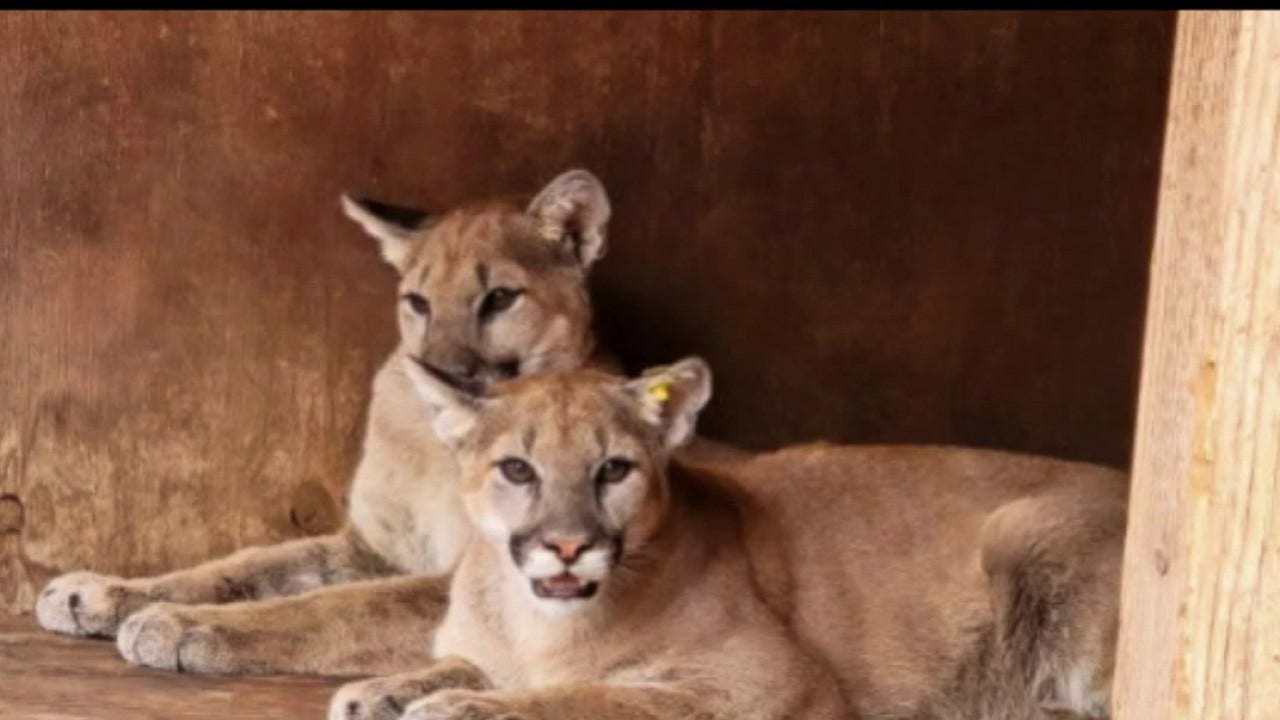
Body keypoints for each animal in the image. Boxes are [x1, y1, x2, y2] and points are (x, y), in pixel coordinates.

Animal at [35, 169, 615, 676]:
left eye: (499, 298)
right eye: (417, 302)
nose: (439, 371)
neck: (438, 447)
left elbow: (338, 605)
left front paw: (184, 624)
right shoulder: (375, 547)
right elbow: (248, 564)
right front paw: (104, 592)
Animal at [327, 356, 1125, 720]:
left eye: (613, 469)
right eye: (516, 469)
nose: (567, 545)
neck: (536, 624)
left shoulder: (765, 679)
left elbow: (597, 695)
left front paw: (460, 707)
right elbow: (461, 663)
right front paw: (381, 691)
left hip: (1024, 533)